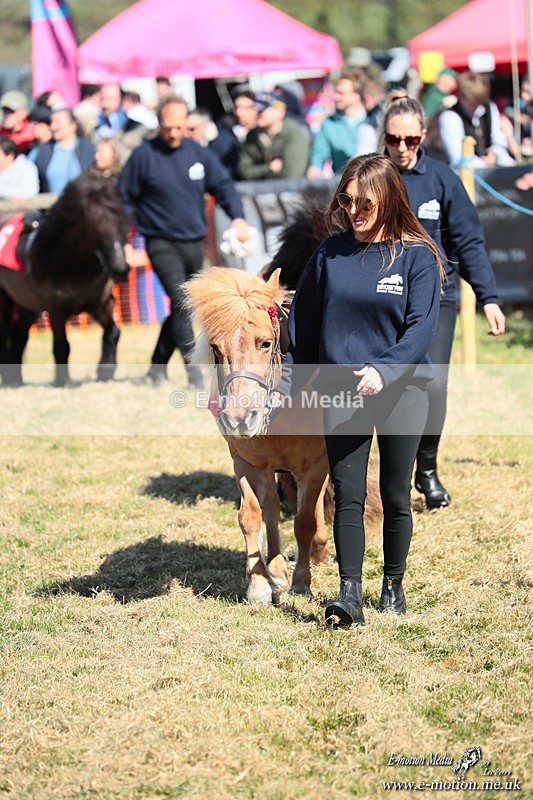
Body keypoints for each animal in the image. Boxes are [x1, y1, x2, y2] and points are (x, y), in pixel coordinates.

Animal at [0, 173, 130, 387]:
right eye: (93, 224)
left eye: (121, 220)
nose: (121, 270)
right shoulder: (56, 310)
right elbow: (62, 345)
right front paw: (64, 380)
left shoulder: (100, 304)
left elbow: (113, 331)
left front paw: (105, 370)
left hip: (27, 304)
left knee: (19, 335)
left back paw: (16, 379)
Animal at [185, 267, 382, 606]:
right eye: (215, 349)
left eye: (265, 343)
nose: (239, 418)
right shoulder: (246, 464)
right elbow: (251, 516)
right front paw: (259, 585)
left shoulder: (315, 466)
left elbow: (305, 522)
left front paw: (301, 583)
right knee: (273, 510)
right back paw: (276, 568)